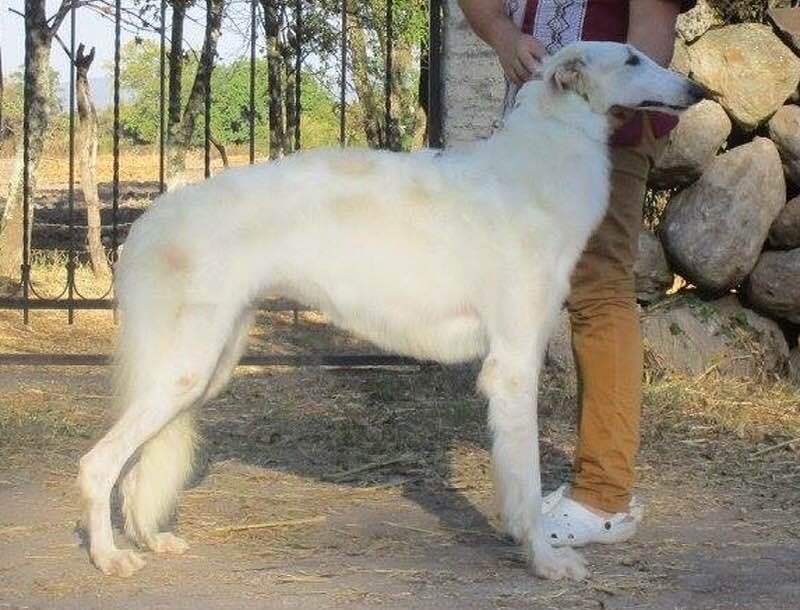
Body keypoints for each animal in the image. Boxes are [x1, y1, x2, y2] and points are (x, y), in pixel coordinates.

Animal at [75, 42, 700, 580]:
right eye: (631, 57)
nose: (696, 88)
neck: (534, 170)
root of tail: (151, 218)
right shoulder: (514, 366)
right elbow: (524, 484)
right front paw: (545, 561)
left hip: (206, 367)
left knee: (138, 469)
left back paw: (149, 539)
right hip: (186, 366)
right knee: (99, 465)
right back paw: (110, 556)